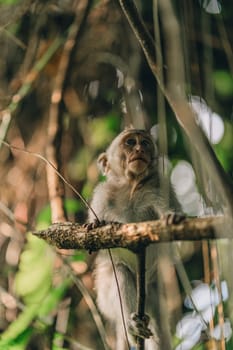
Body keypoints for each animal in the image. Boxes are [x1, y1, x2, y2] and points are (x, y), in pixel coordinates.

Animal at [86, 127, 181, 350]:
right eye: (130, 142)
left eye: (144, 143)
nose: (139, 149)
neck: (130, 186)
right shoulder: (103, 194)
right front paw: (95, 225)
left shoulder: (158, 187)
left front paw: (170, 217)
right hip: (106, 300)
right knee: (119, 271)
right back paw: (131, 326)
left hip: (154, 289)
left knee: (159, 327)